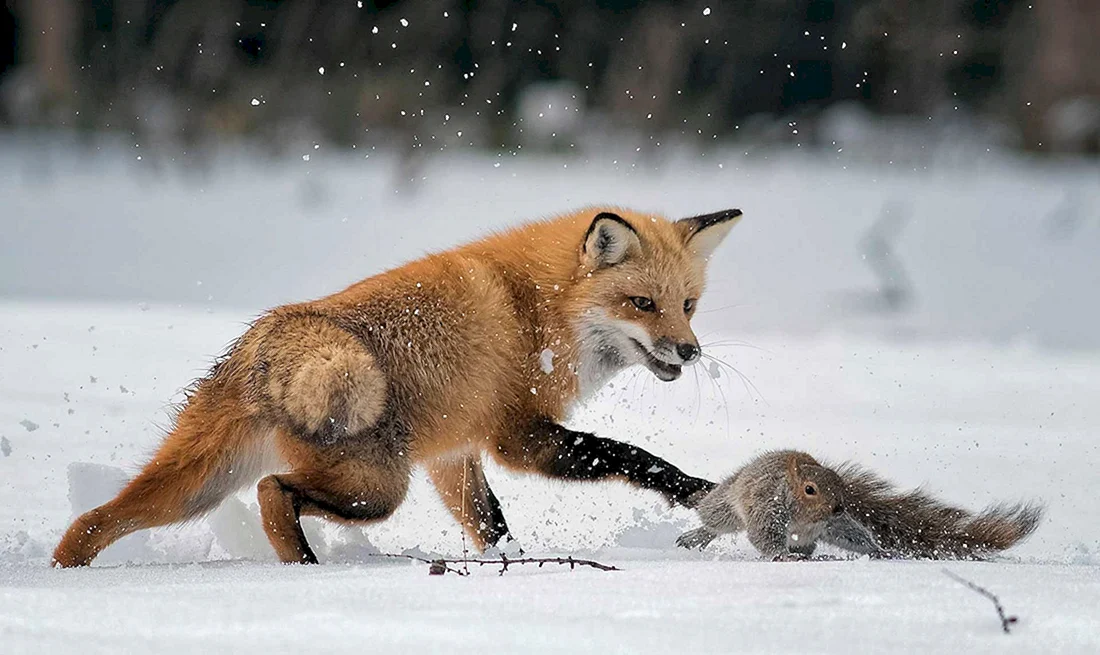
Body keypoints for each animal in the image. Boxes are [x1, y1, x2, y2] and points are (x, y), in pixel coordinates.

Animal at [52, 207, 742, 567]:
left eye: (688, 305)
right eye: (642, 304)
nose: (690, 351)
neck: (539, 310)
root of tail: (271, 341)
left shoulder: (452, 455)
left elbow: (490, 524)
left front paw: (509, 567)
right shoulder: (515, 437)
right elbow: (633, 456)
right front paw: (701, 492)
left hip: (195, 488)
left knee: (95, 518)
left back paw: (64, 576)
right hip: (378, 487)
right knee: (275, 492)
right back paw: (301, 568)